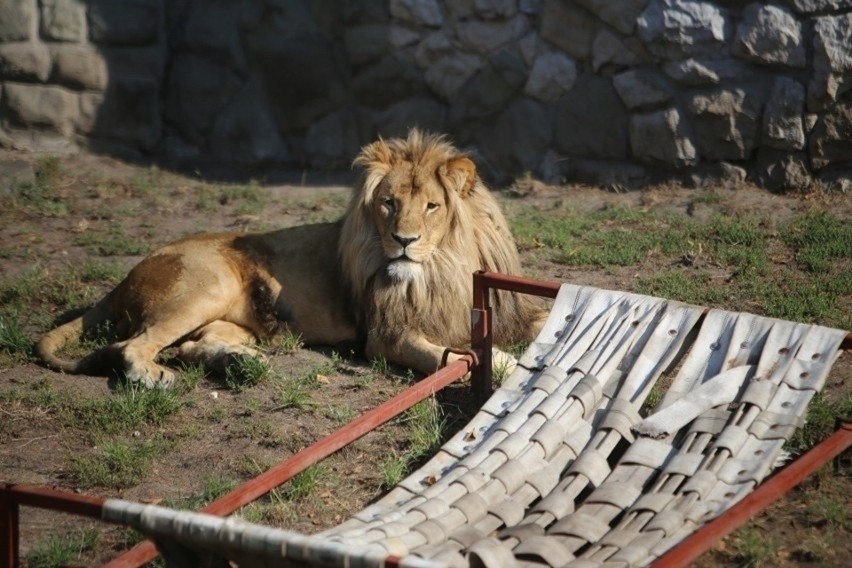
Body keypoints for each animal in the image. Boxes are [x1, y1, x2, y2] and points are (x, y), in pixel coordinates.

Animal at [38, 129, 544, 388]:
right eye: (388, 203)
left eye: (432, 206)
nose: (403, 240)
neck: (441, 268)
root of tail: (120, 282)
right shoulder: (387, 338)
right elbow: (466, 355)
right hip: (208, 284)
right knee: (132, 346)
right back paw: (154, 376)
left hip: (231, 318)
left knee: (189, 347)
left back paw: (240, 364)